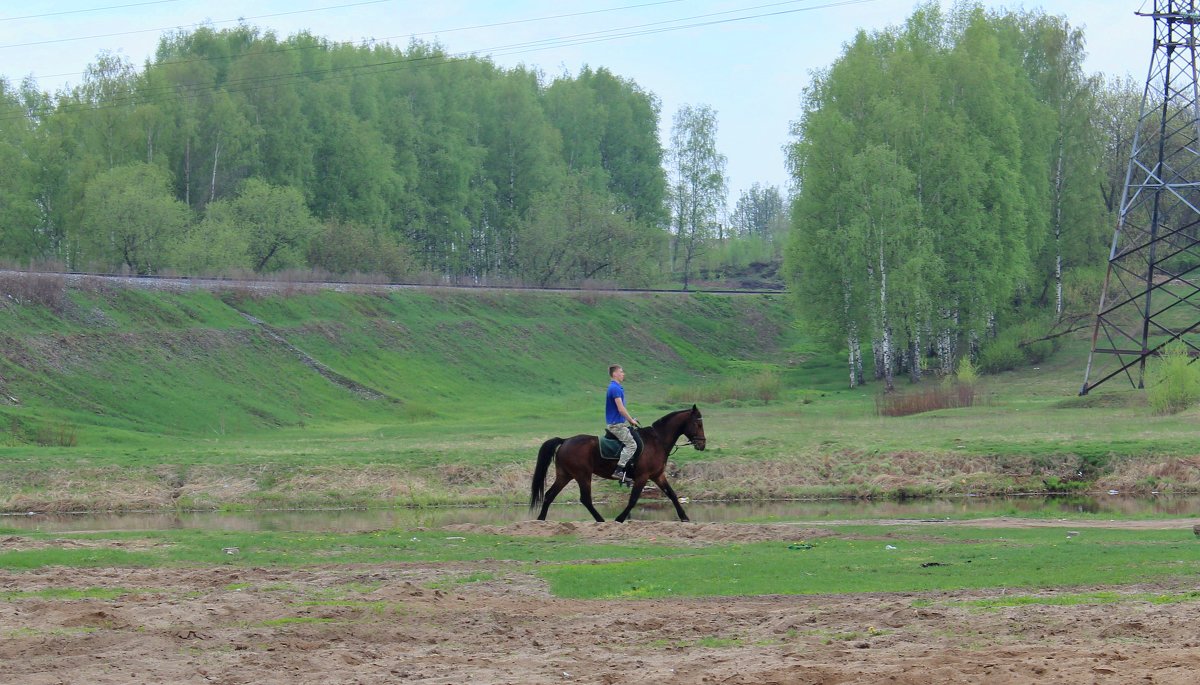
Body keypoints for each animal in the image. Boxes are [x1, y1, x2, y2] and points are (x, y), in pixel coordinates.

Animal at [528, 405, 700, 523]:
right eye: (698, 424)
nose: (702, 444)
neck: (657, 441)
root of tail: (565, 441)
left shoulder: (658, 475)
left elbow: (672, 494)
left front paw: (684, 517)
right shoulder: (643, 476)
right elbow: (633, 499)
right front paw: (620, 518)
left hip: (565, 475)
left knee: (550, 495)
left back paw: (541, 519)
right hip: (583, 475)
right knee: (585, 499)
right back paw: (600, 520)